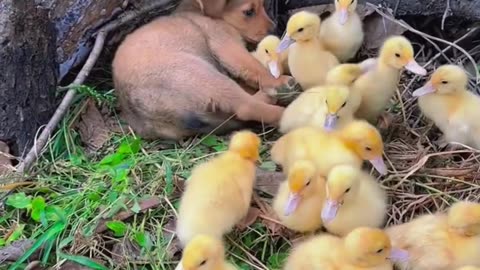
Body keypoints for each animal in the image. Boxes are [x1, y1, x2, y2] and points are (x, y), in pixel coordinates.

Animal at [112, 0, 296, 139]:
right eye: (249, 12)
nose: (274, 29)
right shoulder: (226, 45)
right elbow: (254, 67)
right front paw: (278, 80)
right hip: (199, 72)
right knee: (246, 107)